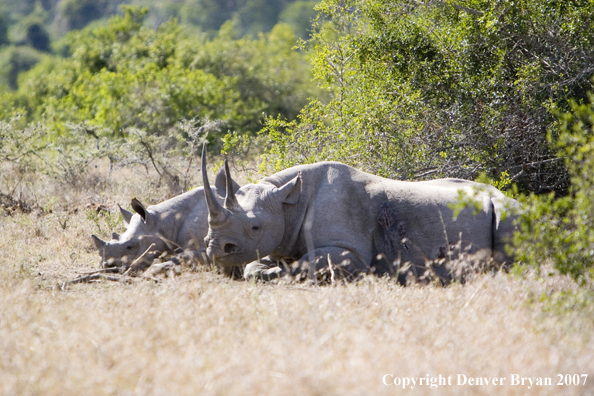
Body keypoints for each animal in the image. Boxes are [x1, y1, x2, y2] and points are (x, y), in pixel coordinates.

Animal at [201, 148, 516, 282]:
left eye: (255, 227)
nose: (215, 249)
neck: (288, 204)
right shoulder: (280, 240)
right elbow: (254, 267)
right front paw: (272, 270)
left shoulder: (350, 251)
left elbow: (308, 263)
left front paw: (283, 273)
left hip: (506, 209)